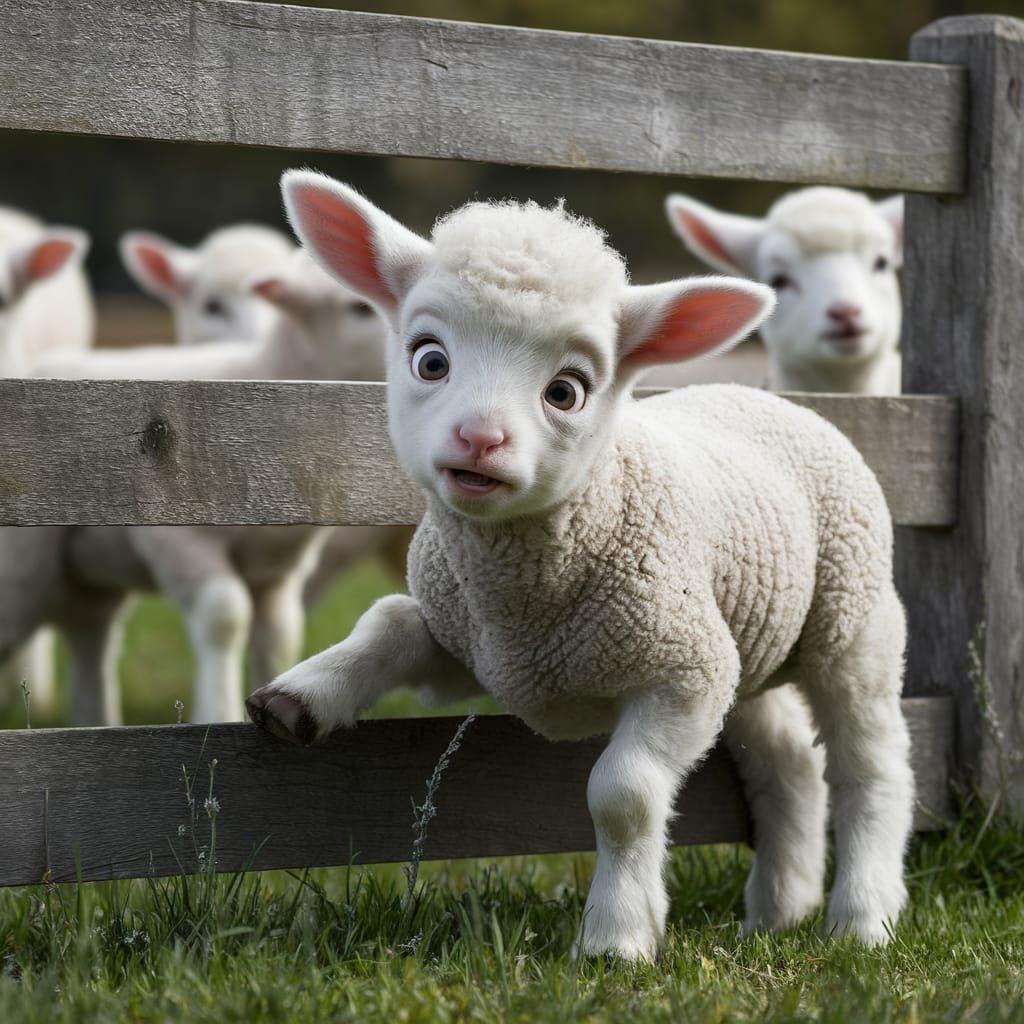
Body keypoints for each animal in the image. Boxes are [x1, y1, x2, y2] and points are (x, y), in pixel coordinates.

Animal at [15, 252, 395, 725]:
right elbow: (224, 616)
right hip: (24, 566)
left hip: (87, 576)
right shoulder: (175, 536)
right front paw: (217, 713)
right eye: (359, 306)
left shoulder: (279, 567)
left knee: (90, 638)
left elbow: (280, 635)